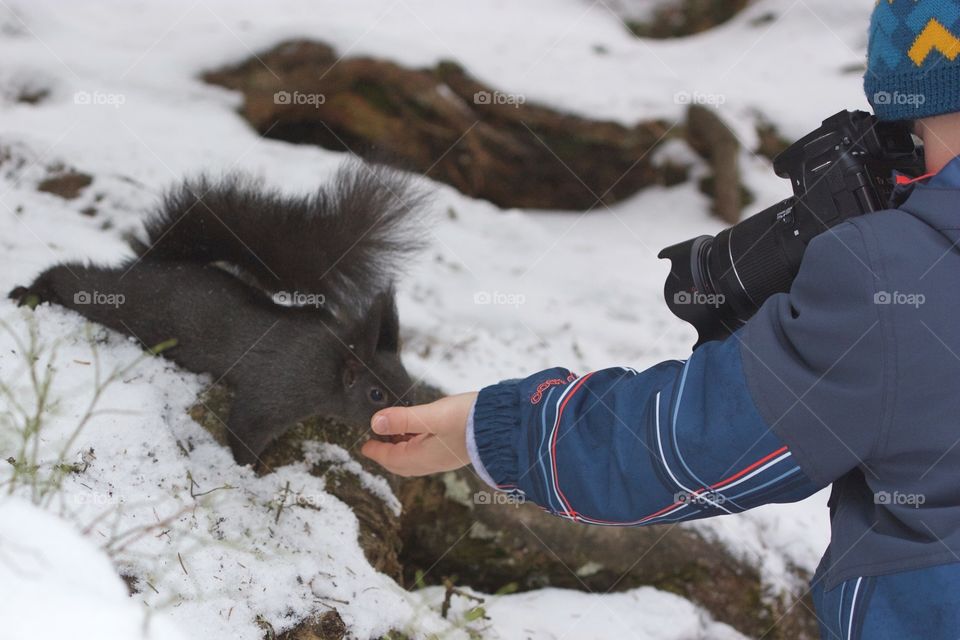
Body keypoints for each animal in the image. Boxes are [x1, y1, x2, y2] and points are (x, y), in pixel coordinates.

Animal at [10, 162, 428, 464]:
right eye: (376, 394)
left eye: (409, 384)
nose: (413, 421)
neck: (328, 364)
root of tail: (154, 262)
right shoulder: (274, 388)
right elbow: (244, 431)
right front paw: (249, 470)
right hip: (130, 302)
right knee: (76, 281)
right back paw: (29, 292)